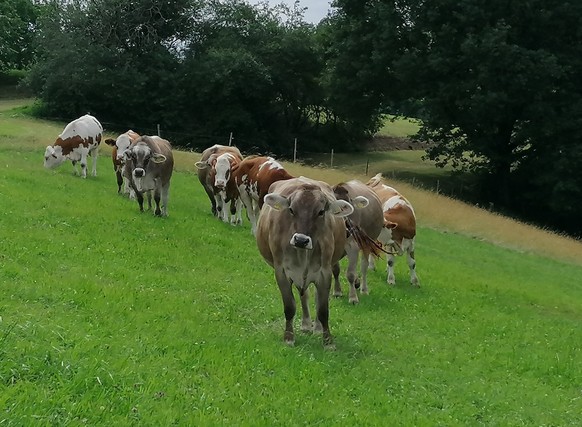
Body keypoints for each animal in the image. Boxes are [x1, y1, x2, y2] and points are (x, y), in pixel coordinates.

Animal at [256, 176, 356, 348]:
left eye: (321, 212)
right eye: (291, 210)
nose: (301, 240)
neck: (302, 253)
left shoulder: (324, 273)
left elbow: (323, 309)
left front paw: (328, 341)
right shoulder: (281, 272)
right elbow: (289, 307)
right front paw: (289, 337)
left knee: (314, 296)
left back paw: (316, 327)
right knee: (304, 296)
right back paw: (306, 324)